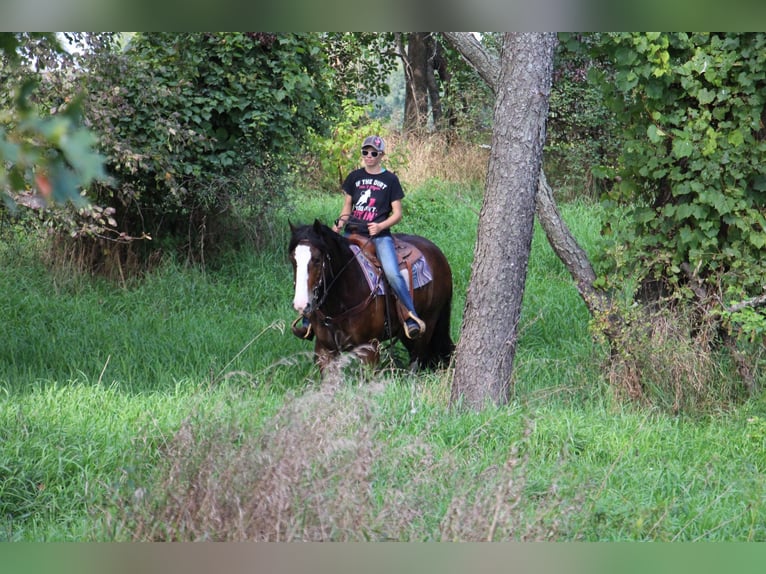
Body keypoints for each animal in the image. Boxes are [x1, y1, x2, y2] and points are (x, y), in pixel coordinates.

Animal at [288, 220, 456, 374]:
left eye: (317, 260)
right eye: (292, 259)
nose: (301, 304)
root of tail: (438, 253)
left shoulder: (369, 350)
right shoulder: (324, 349)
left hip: (429, 321)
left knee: (417, 358)